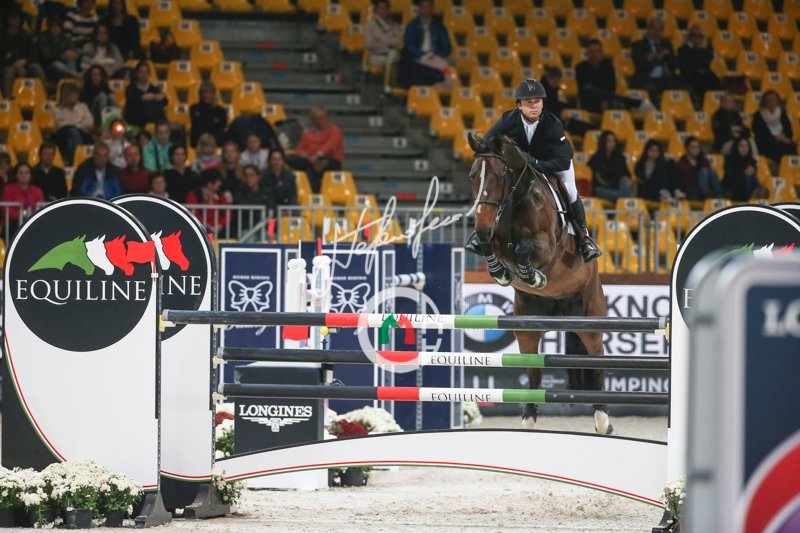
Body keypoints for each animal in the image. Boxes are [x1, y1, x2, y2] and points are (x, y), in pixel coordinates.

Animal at [467, 132, 612, 434]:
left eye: (501, 174)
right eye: (472, 175)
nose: (482, 226)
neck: (516, 198)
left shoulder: (547, 244)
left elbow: (526, 249)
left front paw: (533, 275)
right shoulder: (495, 238)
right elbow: (490, 247)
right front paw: (500, 271)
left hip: (591, 320)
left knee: (596, 360)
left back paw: (602, 418)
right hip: (527, 330)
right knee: (533, 372)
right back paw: (529, 418)